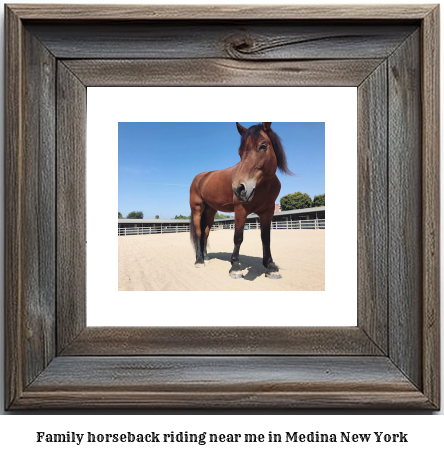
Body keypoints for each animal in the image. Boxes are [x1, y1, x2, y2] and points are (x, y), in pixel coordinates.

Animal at [189, 121, 294, 278]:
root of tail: (200, 177)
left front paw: (270, 266)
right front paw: (235, 267)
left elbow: (266, 238)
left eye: (263, 146)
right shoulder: (240, 210)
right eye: (240, 152)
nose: (239, 189)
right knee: (198, 233)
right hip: (197, 209)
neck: (263, 185)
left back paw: (205, 257)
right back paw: (199, 260)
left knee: (205, 233)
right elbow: (238, 237)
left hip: (210, 212)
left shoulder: (268, 212)